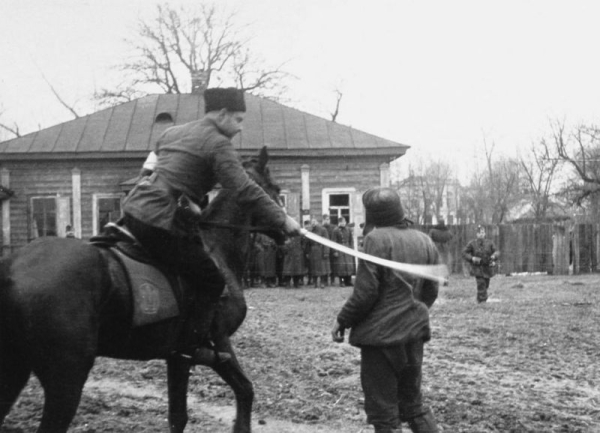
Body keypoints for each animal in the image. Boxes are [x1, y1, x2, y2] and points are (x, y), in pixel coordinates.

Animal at [0, 147, 284, 430]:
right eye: (275, 188)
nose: (286, 230)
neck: (216, 250)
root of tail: (12, 268)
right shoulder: (216, 342)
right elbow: (244, 390)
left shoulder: (177, 357)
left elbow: (179, 416)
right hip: (66, 377)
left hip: (16, 369)